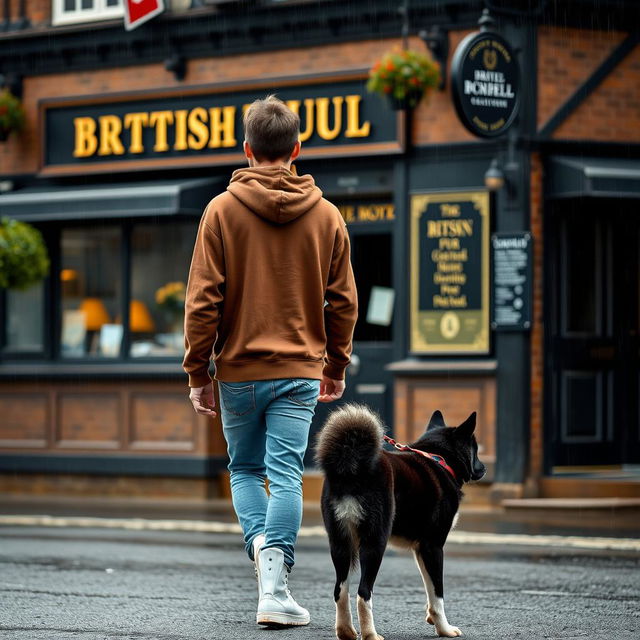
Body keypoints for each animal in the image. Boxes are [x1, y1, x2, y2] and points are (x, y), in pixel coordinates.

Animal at [316, 408, 484, 636]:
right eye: (475, 448)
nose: (484, 468)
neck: (438, 458)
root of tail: (351, 465)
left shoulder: (421, 549)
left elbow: (429, 588)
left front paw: (431, 617)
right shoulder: (433, 546)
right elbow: (438, 593)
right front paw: (444, 629)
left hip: (341, 544)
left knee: (340, 591)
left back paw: (346, 632)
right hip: (375, 543)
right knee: (363, 592)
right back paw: (371, 634)